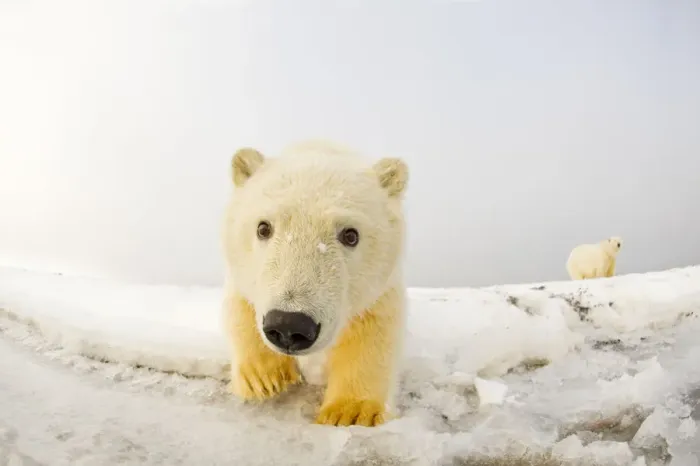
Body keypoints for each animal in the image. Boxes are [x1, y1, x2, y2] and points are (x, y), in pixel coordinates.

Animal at [221, 140, 409, 427]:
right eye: (263, 228)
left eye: (351, 235)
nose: (289, 325)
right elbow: (240, 305)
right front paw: (263, 377)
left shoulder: (379, 289)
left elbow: (374, 330)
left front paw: (350, 411)